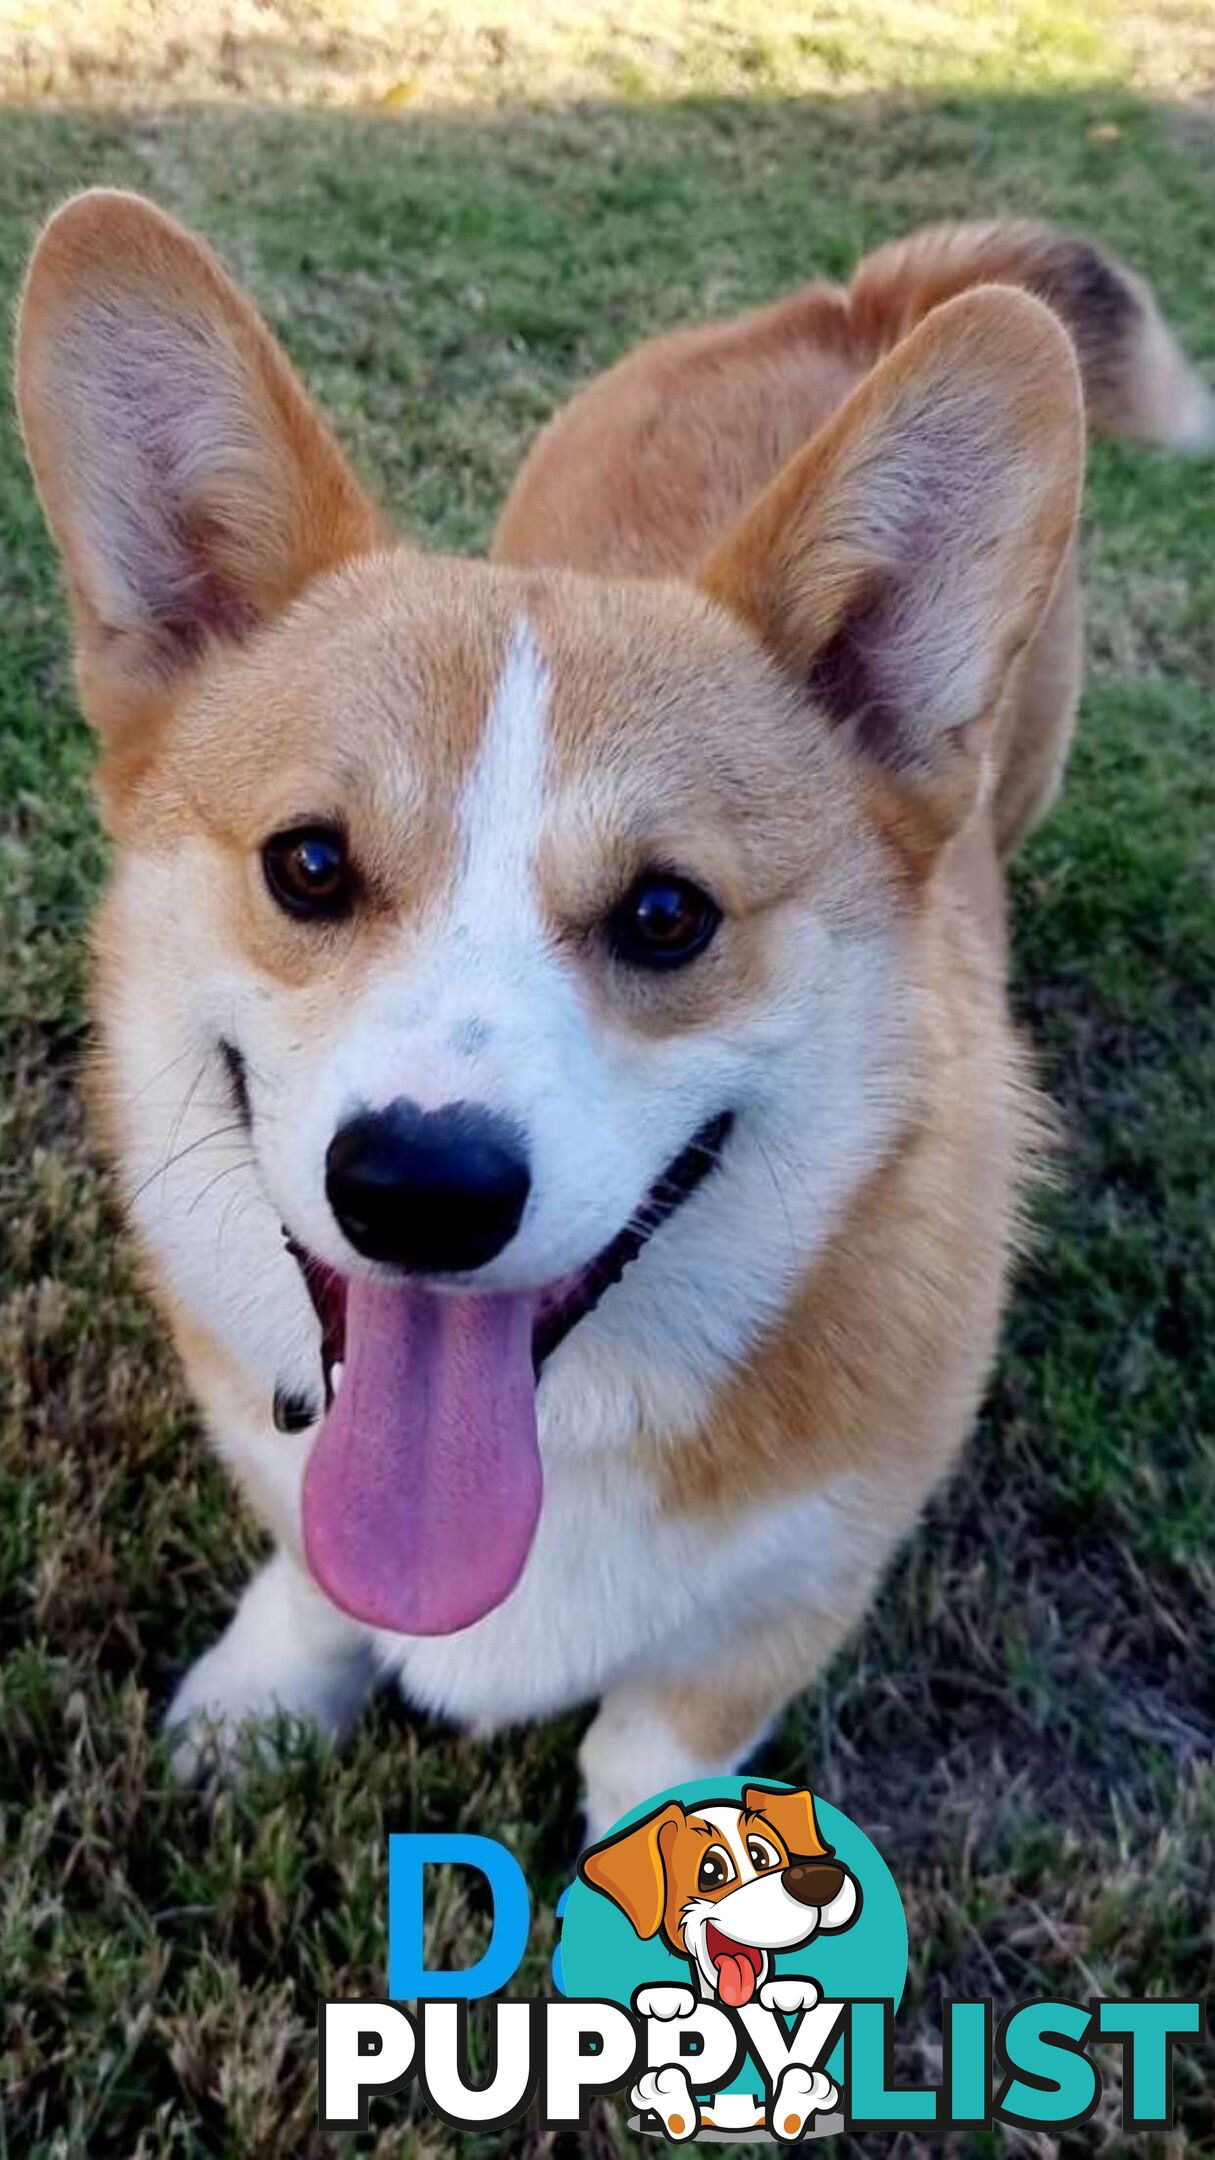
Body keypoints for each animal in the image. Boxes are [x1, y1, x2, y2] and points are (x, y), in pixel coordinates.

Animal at [16, 190, 1202, 1840]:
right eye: (307, 864)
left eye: (665, 915)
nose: (420, 1193)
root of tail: (848, 307)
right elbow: (315, 1576)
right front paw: (269, 1697)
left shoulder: (784, 1602)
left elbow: (653, 1762)